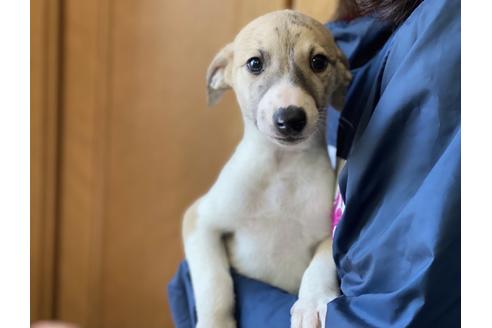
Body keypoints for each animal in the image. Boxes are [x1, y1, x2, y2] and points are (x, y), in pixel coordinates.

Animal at [183, 10, 352, 328]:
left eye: (319, 62)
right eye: (254, 63)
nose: (290, 118)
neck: (280, 171)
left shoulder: (328, 233)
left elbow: (323, 261)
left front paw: (311, 304)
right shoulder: (200, 220)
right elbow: (214, 282)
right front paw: (215, 322)